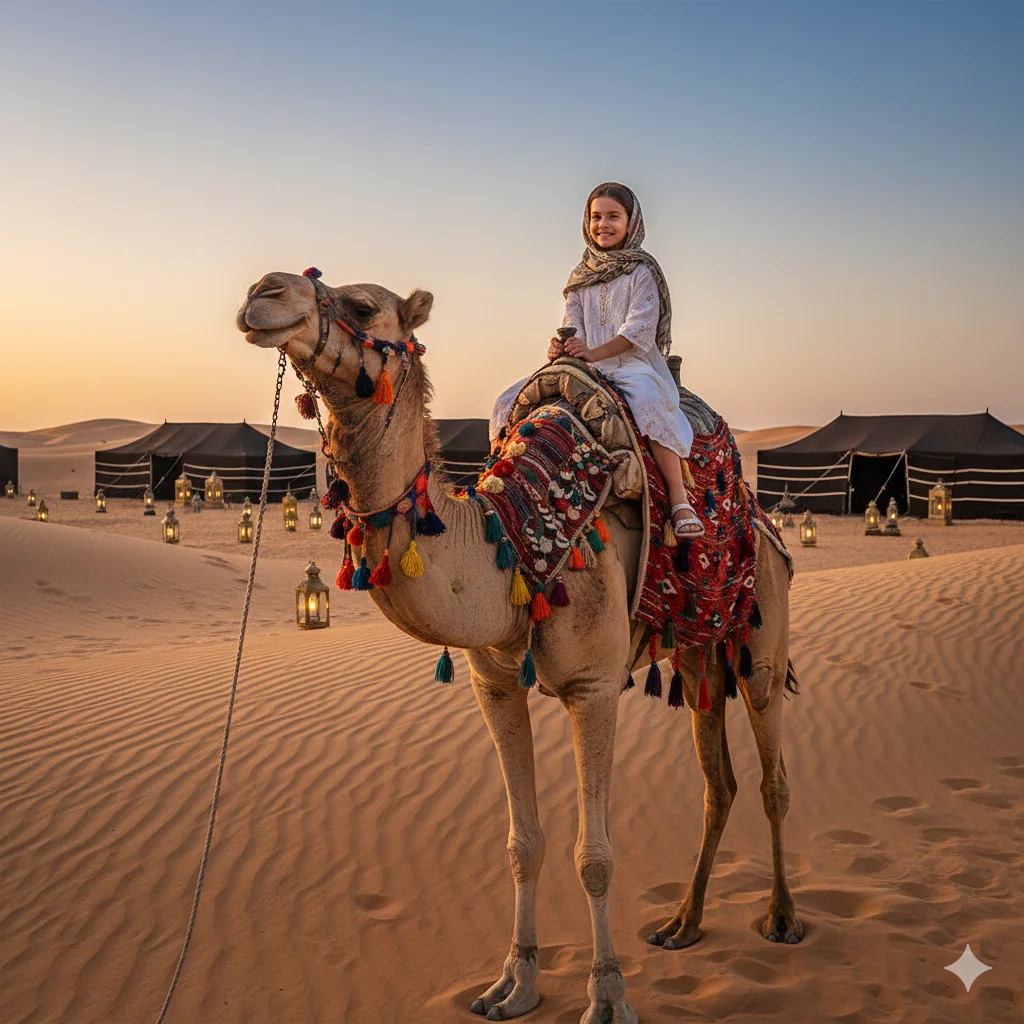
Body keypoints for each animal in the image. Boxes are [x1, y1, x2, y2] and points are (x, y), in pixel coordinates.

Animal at [237, 271, 802, 1023]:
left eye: (362, 304)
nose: (263, 292)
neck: (510, 541)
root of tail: (758, 509)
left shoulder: (594, 686)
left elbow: (594, 856)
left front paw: (607, 994)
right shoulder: (494, 684)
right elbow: (522, 844)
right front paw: (515, 983)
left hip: (763, 628)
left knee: (771, 775)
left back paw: (781, 917)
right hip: (698, 651)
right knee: (720, 782)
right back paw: (683, 923)